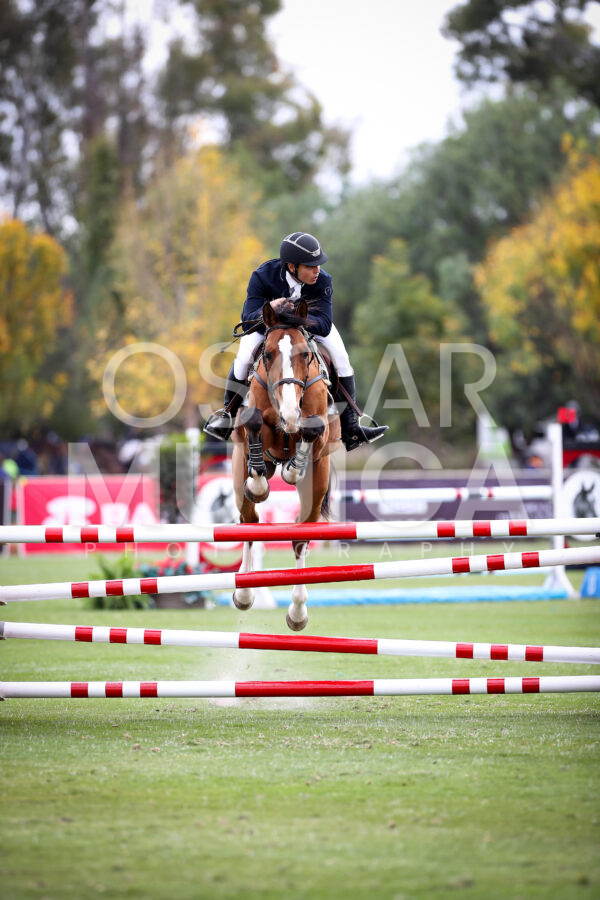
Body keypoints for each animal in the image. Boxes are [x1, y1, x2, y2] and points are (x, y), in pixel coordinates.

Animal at [231, 299, 341, 631]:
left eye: (305, 354)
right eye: (267, 354)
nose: (290, 413)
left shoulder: (320, 431)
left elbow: (313, 429)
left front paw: (293, 468)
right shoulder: (252, 424)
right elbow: (254, 421)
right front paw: (259, 484)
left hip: (316, 488)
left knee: (300, 536)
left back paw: (297, 612)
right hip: (238, 476)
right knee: (249, 521)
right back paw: (244, 594)